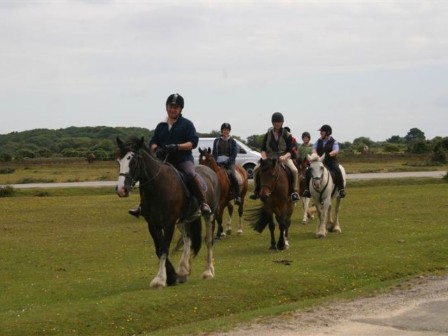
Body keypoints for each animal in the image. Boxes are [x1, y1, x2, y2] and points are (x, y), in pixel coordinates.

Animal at [115, 136, 220, 288]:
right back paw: (183, 271)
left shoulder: (169, 223)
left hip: (209, 215)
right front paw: (171, 276)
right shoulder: (152, 224)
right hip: (183, 220)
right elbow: (159, 248)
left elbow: (164, 248)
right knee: (188, 239)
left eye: (132, 160)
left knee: (208, 241)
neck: (158, 187)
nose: (121, 190)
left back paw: (208, 271)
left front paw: (160, 279)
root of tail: (211, 171)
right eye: (118, 161)